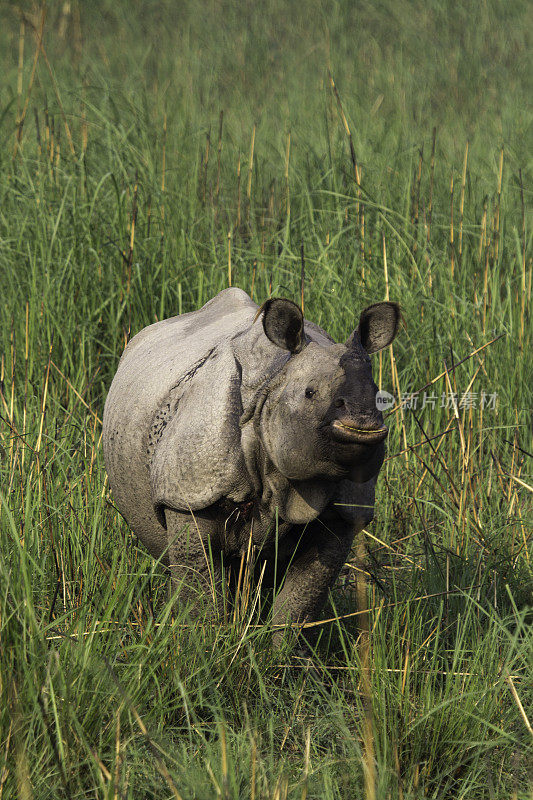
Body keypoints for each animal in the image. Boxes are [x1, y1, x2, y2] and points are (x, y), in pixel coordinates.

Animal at [102, 290, 396, 648]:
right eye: (310, 393)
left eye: (379, 398)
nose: (363, 425)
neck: (274, 382)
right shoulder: (191, 492)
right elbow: (198, 586)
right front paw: (200, 647)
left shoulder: (344, 512)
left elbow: (301, 602)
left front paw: (283, 657)